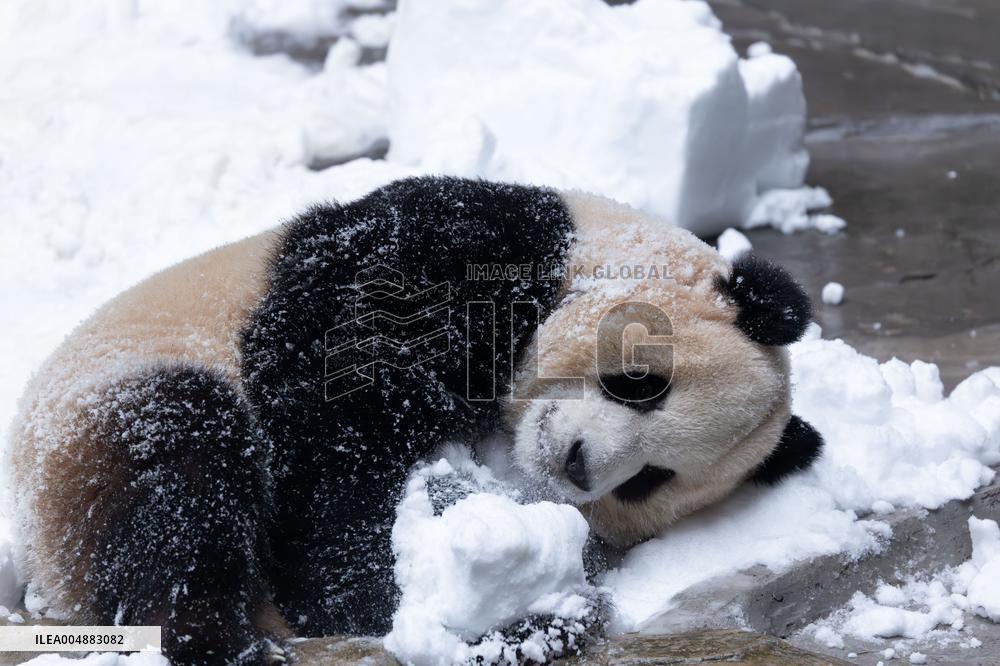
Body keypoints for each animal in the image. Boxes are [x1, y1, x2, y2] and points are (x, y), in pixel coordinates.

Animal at [6, 176, 822, 664]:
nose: (579, 465)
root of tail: (42, 566)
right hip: (101, 416)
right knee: (181, 475)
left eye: (648, 480)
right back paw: (224, 638)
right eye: (641, 385)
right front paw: (376, 593)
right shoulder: (447, 250)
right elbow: (342, 413)